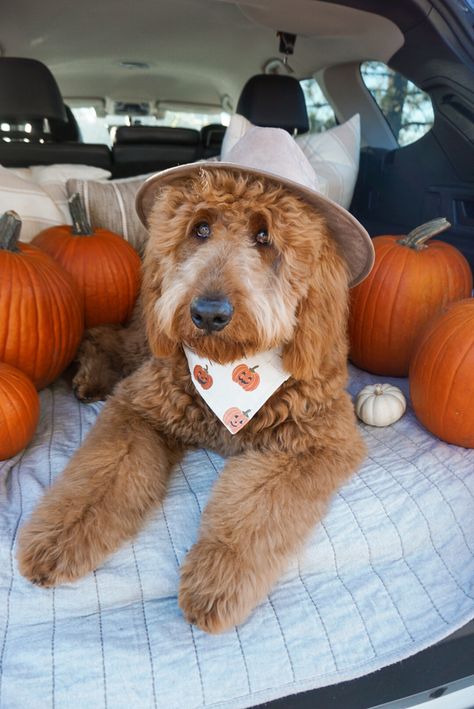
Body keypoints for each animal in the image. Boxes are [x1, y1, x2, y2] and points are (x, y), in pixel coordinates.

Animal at [17, 126, 374, 632]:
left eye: (264, 236)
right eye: (200, 229)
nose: (208, 313)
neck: (228, 376)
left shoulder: (315, 442)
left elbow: (252, 513)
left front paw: (217, 580)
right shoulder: (138, 407)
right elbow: (98, 480)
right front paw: (59, 537)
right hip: (146, 342)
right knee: (101, 335)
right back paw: (89, 376)